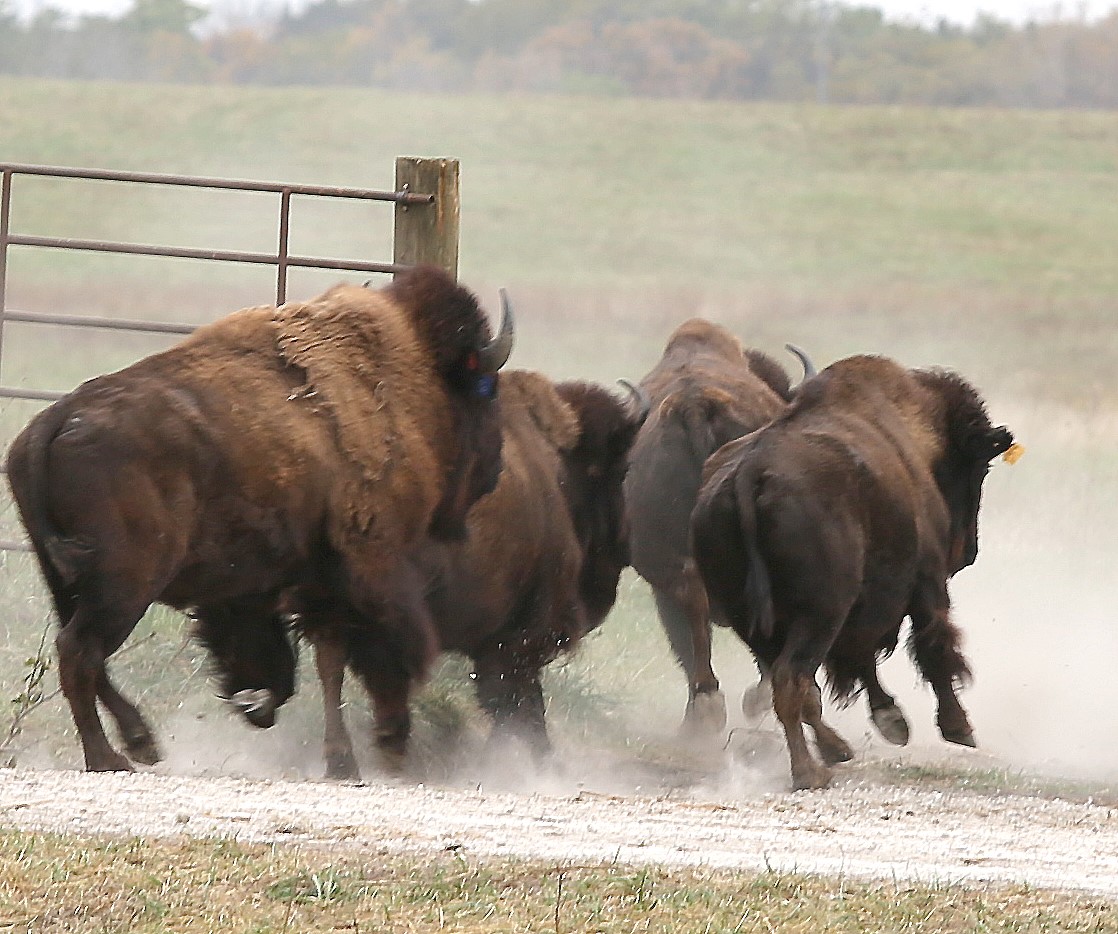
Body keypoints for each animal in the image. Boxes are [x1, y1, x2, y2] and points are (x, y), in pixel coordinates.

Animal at [6, 266, 513, 772]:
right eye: (485, 389)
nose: (495, 469)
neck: (404, 379)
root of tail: (56, 419)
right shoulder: (367, 570)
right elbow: (375, 651)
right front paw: (379, 744)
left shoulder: (280, 587)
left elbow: (313, 663)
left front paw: (280, 719)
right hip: (125, 585)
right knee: (80, 653)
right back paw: (109, 757)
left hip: (68, 581)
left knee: (83, 656)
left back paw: (141, 742)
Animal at [293, 370, 648, 778]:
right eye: (620, 470)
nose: (625, 547)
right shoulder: (524, 632)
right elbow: (515, 701)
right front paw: (529, 763)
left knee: (331, 666)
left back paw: (344, 763)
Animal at [691, 355, 1016, 790]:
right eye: (979, 468)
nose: (968, 552)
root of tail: (750, 475)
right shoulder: (926, 585)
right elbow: (933, 648)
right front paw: (958, 728)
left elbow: (866, 662)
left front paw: (893, 722)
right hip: (821, 615)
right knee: (792, 681)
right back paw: (810, 772)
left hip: (754, 620)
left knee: (794, 685)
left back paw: (835, 751)